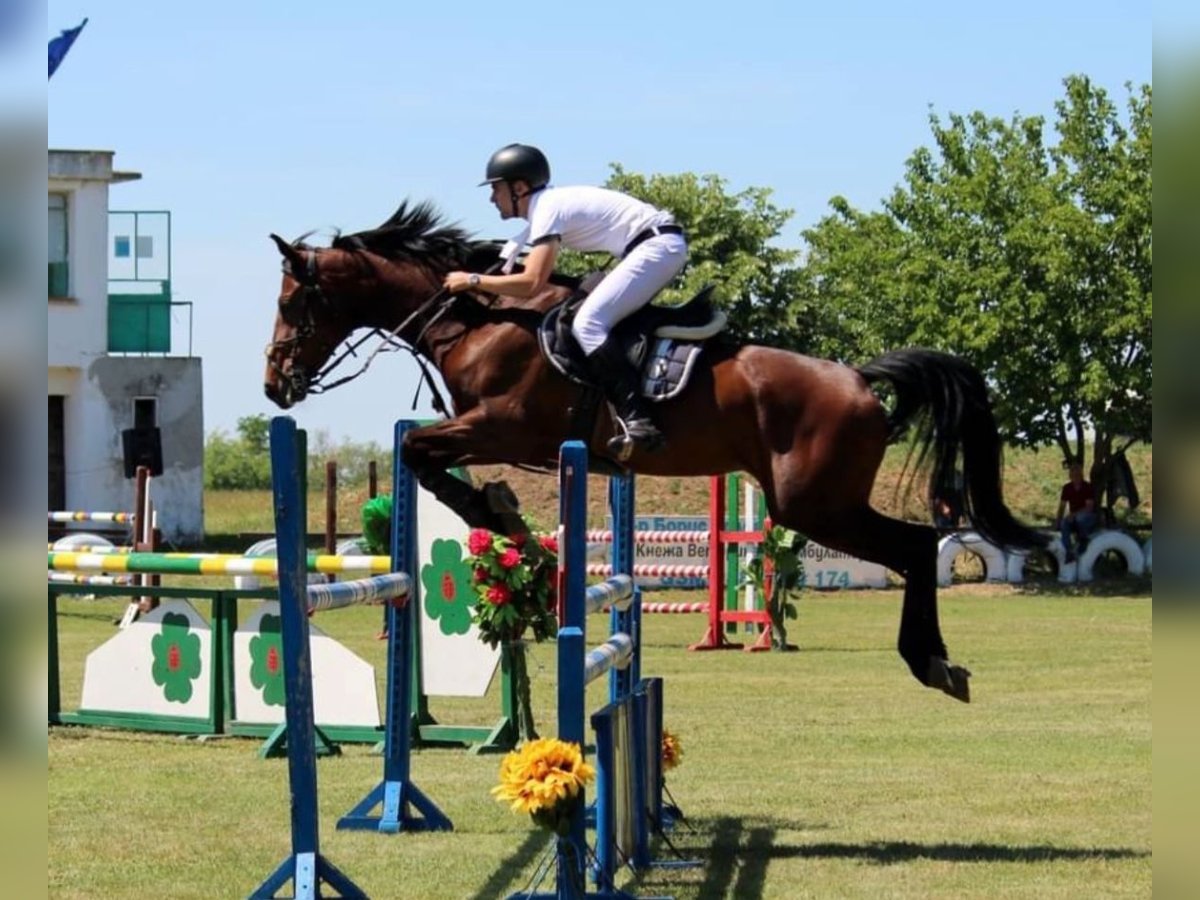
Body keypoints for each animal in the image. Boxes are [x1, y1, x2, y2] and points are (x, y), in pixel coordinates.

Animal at [262, 204, 1041, 705]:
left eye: (294, 303)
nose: (276, 385)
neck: (478, 320)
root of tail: (857, 377)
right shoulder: (490, 431)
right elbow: (426, 458)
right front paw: (508, 519)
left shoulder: (503, 427)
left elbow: (424, 454)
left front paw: (501, 515)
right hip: (819, 503)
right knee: (916, 545)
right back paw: (938, 663)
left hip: (814, 504)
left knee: (915, 545)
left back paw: (934, 664)